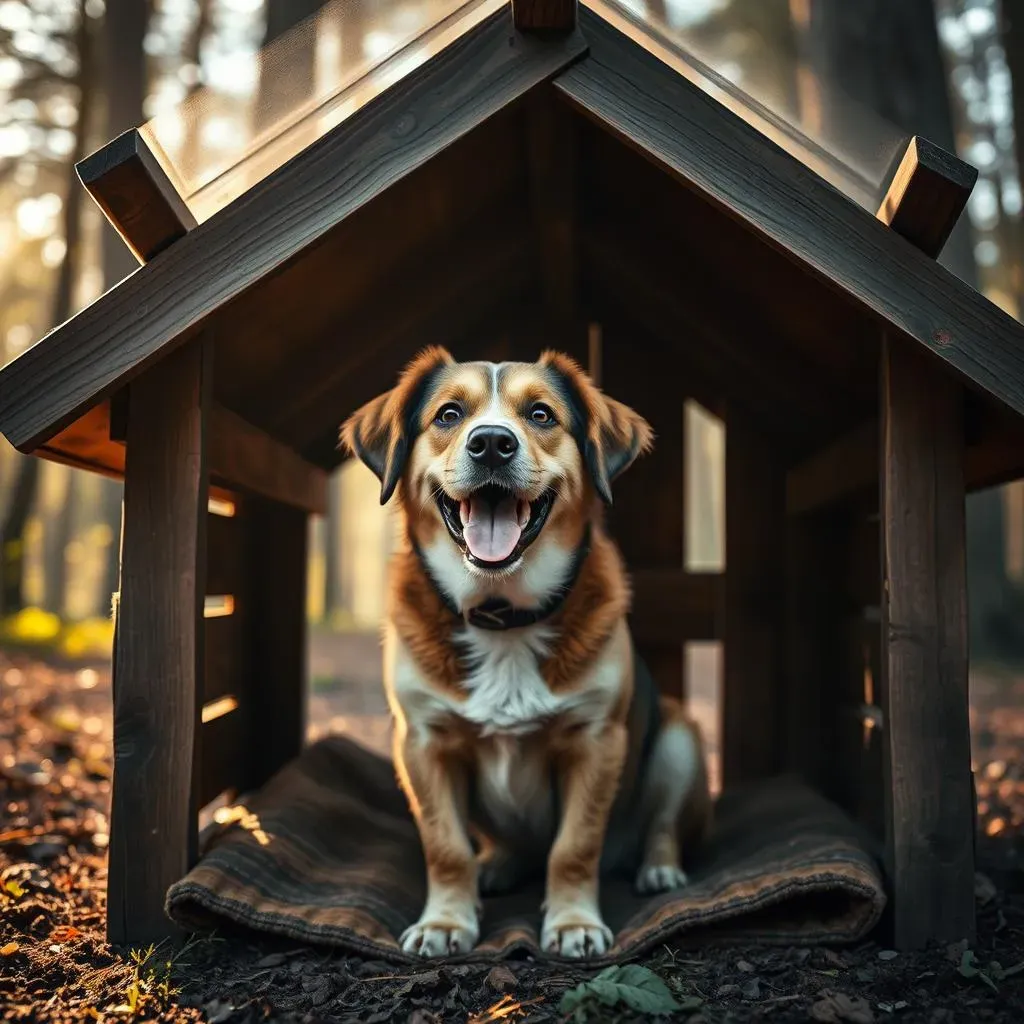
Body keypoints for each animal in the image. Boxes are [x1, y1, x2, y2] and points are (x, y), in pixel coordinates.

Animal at [339, 348, 708, 954]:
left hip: (679, 738)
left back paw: (659, 868)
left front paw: (574, 922)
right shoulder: (422, 743)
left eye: (540, 414)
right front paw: (446, 922)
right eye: (448, 415)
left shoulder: (595, 741)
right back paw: (498, 865)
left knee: (659, 828)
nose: (491, 443)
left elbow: (574, 847)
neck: (503, 618)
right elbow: (446, 847)